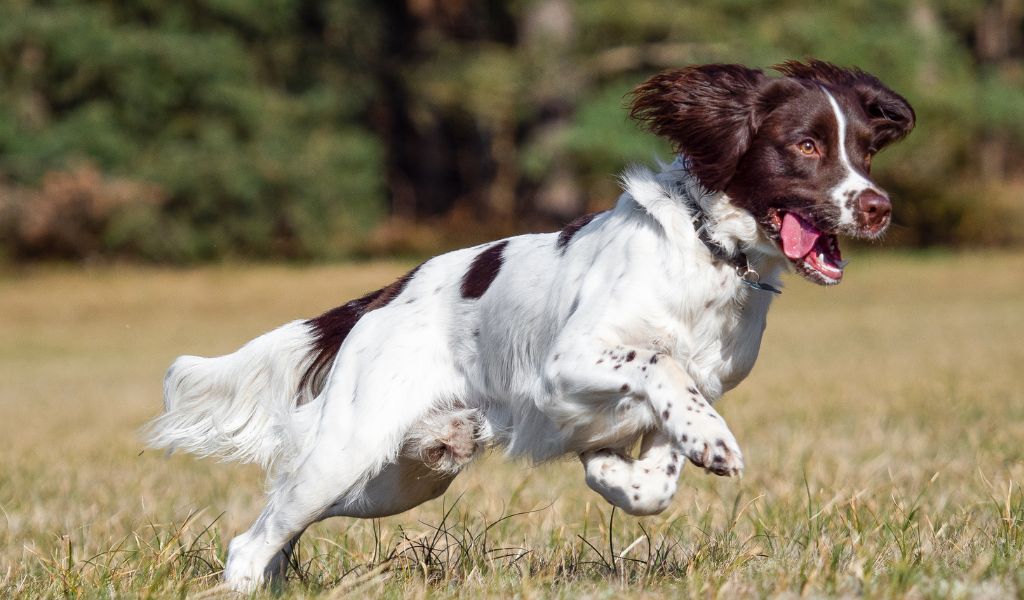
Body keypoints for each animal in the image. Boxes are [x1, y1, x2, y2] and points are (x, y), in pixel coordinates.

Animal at [142, 60, 913, 589]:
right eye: (806, 146)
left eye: (866, 150)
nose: (878, 207)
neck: (708, 256)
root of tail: (385, 295)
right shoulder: (566, 363)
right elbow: (659, 363)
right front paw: (709, 445)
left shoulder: (702, 384)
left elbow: (660, 465)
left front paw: (619, 472)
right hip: (347, 451)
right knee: (253, 539)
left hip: (398, 479)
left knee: (280, 523)